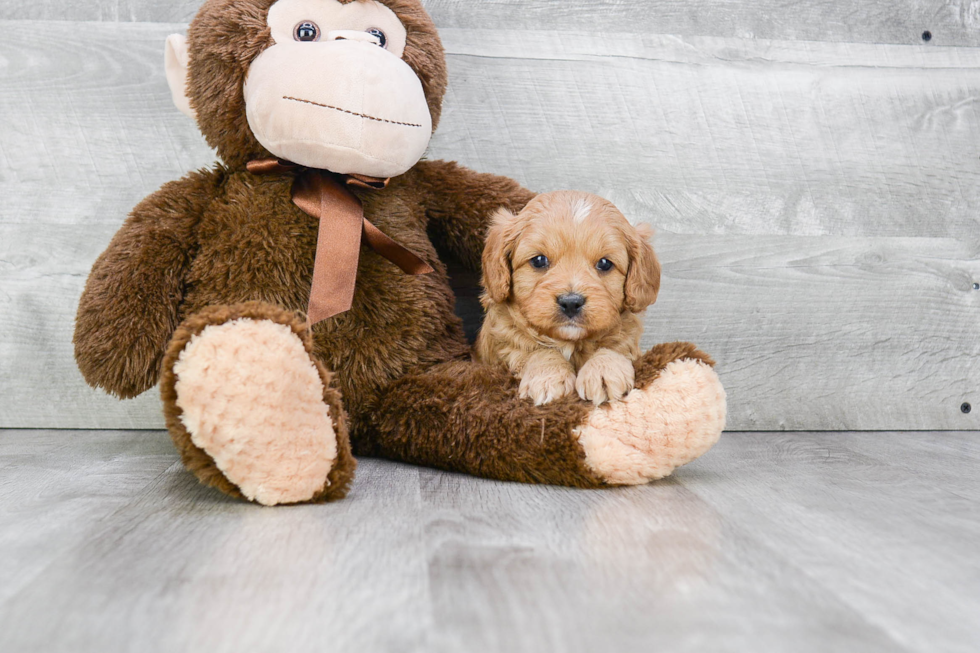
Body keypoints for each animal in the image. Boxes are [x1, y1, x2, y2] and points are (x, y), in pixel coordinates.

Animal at [472, 190, 660, 402]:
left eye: (604, 263)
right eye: (539, 260)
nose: (571, 303)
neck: (570, 342)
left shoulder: (626, 336)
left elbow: (613, 347)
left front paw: (604, 370)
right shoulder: (505, 343)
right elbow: (535, 350)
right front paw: (547, 376)